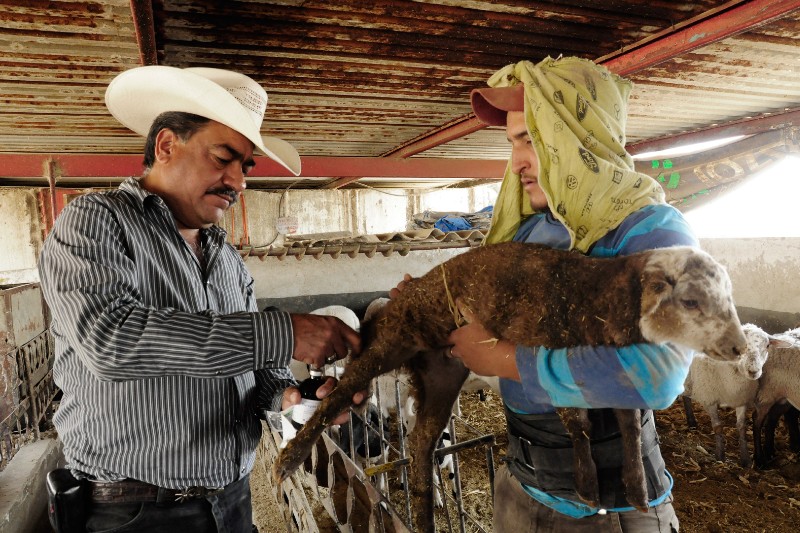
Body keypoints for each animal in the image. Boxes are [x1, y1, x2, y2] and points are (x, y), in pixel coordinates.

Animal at [272, 242, 748, 532]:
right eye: (691, 301)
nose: (739, 347)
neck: (596, 295)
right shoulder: (552, 349)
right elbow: (577, 422)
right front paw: (588, 486)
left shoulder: (621, 375)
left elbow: (630, 427)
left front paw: (635, 490)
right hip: (393, 341)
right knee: (342, 391)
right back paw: (288, 459)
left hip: (441, 373)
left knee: (422, 440)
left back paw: (426, 512)